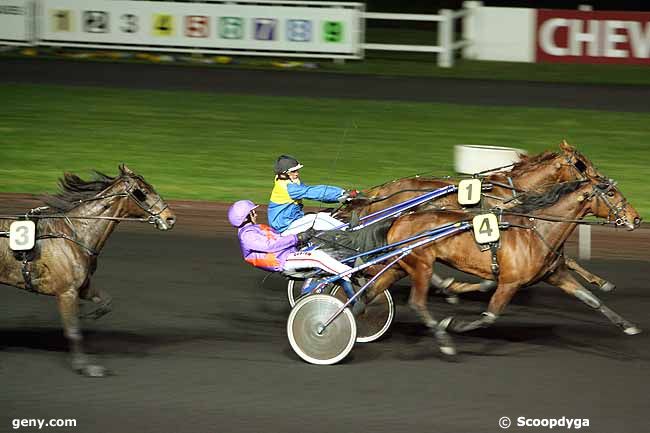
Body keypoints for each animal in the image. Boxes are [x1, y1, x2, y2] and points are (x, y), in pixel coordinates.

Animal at [0, 165, 176, 374]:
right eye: (142, 192)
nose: (170, 218)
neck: (75, 235)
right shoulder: (66, 292)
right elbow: (73, 330)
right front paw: (85, 366)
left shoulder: (82, 287)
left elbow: (107, 302)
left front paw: (89, 316)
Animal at [364, 177, 636, 352]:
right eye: (611, 193)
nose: (636, 218)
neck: (536, 230)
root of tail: (399, 218)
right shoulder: (509, 283)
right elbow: (490, 316)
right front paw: (454, 324)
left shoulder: (556, 275)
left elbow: (592, 300)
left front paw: (628, 326)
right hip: (421, 265)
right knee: (416, 302)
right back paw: (443, 339)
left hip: (401, 265)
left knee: (370, 293)